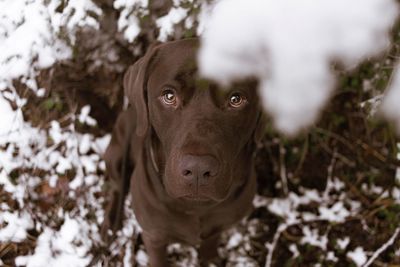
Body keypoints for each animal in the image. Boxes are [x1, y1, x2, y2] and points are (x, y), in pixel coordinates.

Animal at [102, 38, 266, 266]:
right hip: (116, 155)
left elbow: (209, 249)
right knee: (117, 187)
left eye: (236, 99)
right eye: (169, 96)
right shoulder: (154, 236)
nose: (198, 169)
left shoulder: (218, 228)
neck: (197, 207)